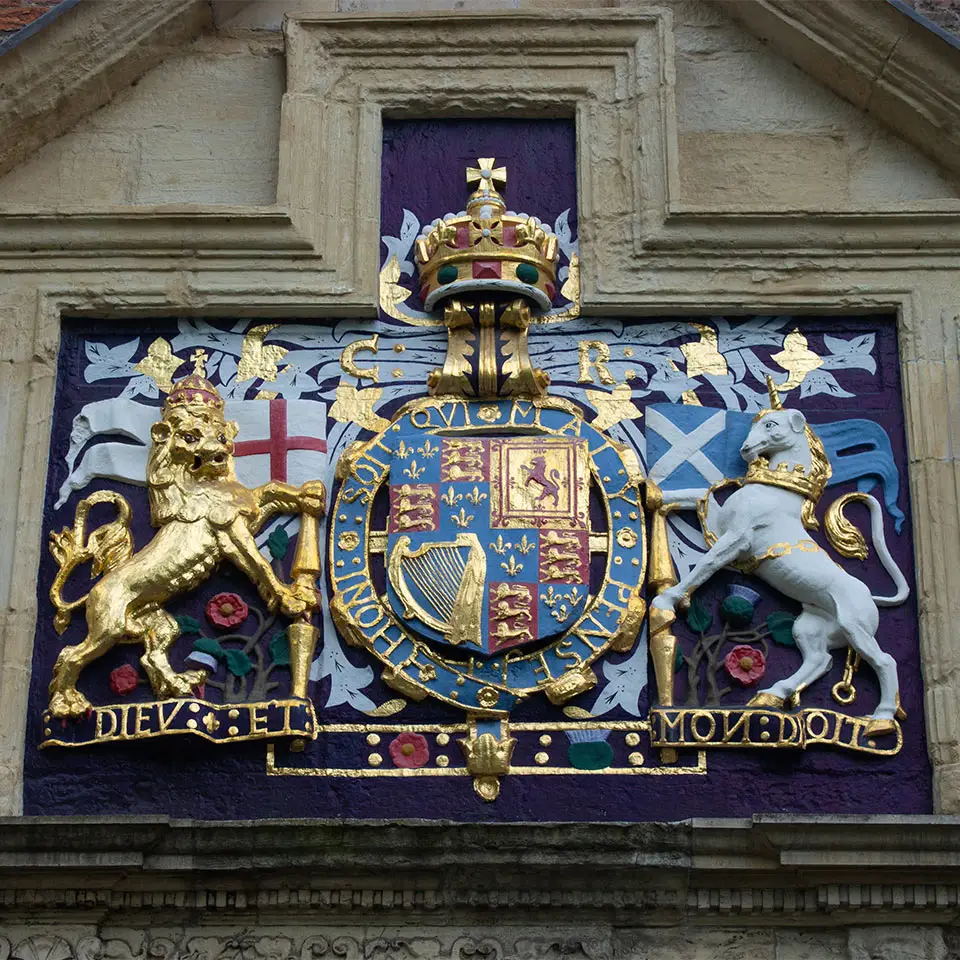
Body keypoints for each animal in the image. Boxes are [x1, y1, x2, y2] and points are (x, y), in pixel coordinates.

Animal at [47, 362, 326, 720]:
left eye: (222, 437)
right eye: (190, 437)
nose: (219, 456)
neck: (203, 483)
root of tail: (92, 592)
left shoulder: (244, 509)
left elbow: (272, 489)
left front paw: (309, 494)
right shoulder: (229, 529)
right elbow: (259, 563)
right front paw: (290, 598)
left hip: (156, 620)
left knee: (150, 654)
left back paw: (178, 686)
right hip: (108, 624)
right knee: (70, 654)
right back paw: (66, 703)